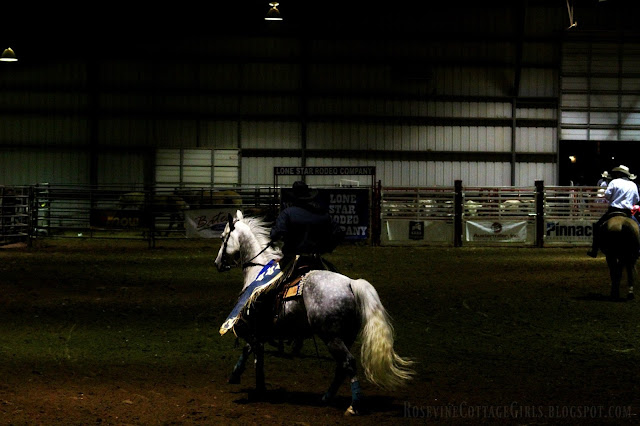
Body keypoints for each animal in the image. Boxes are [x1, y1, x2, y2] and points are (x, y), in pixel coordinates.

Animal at [215, 211, 416, 416]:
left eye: (223, 238)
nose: (217, 263)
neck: (258, 269)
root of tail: (351, 283)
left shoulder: (255, 325)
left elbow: (250, 350)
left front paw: (238, 376)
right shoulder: (262, 331)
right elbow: (255, 354)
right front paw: (257, 385)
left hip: (331, 337)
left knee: (348, 363)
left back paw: (354, 405)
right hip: (346, 337)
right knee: (341, 367)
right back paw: (327, 397)